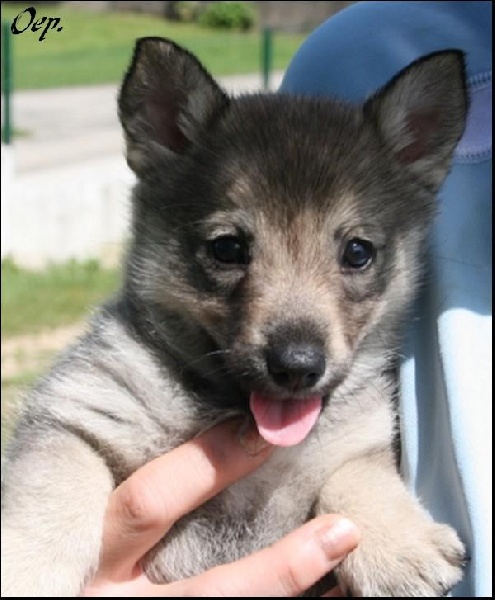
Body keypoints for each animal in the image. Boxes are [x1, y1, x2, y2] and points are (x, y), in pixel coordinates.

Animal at [0, 38, 468, 596]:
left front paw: (397, 546)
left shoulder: (360, 442)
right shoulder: (78, 413)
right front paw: (24, 567)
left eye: (358, 252)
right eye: (227, 249)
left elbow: (358, 473)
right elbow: (54, 485)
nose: (297, 366)